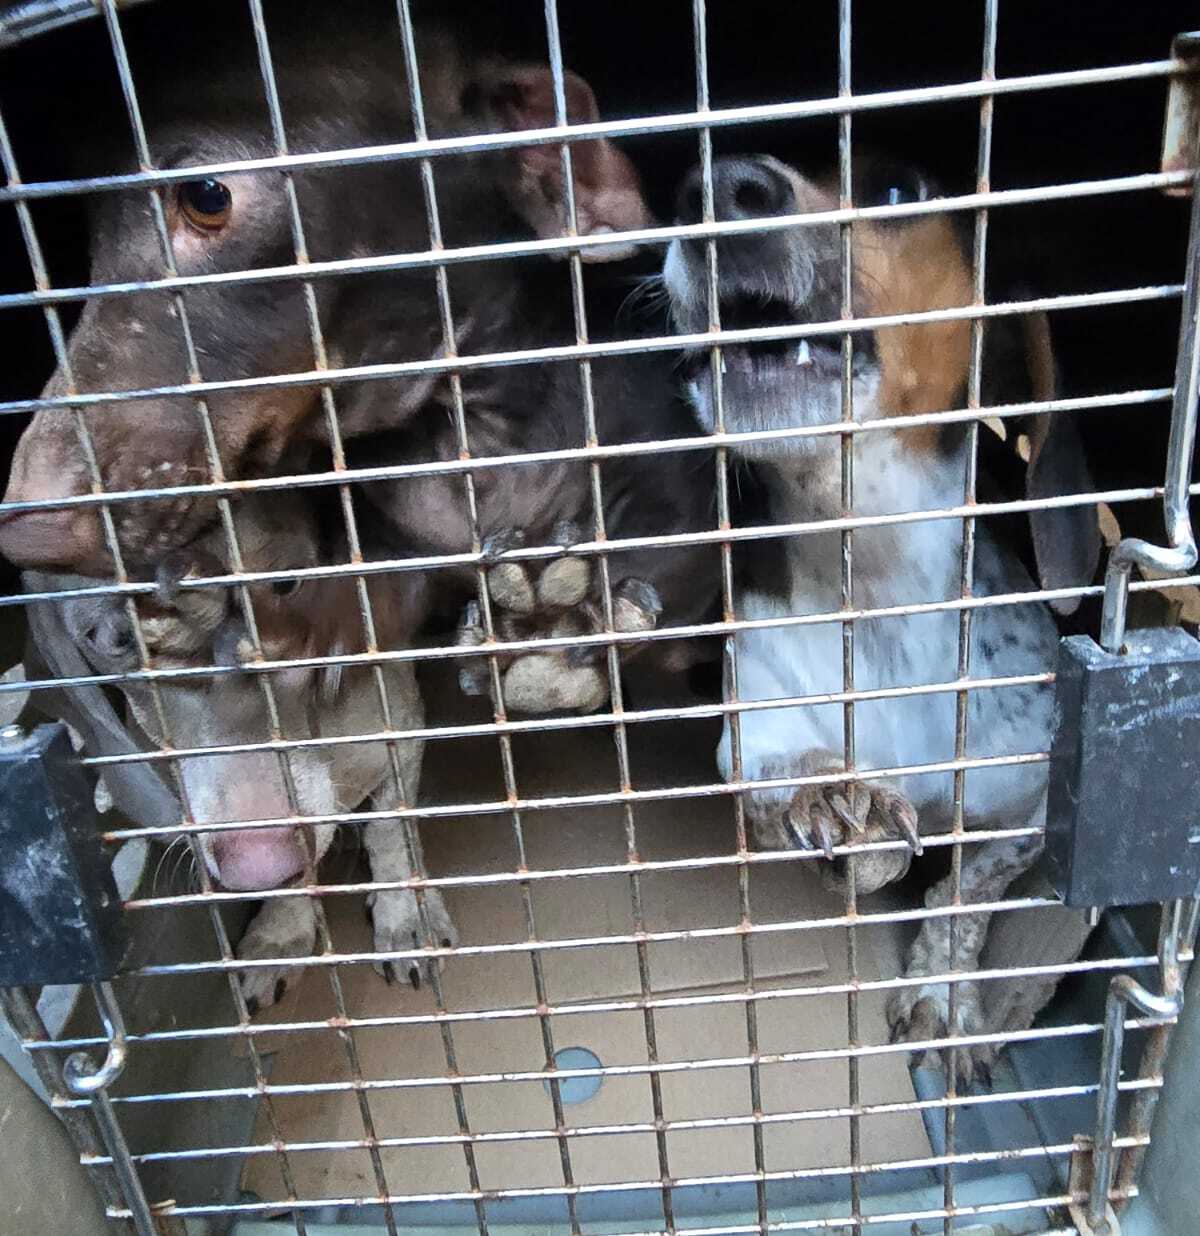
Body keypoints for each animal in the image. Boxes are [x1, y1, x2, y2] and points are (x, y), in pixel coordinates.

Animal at [26, 487, 446, 1012]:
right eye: (117, 638)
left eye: (286, 585)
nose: (260, 863)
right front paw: (281, 931)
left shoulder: (401, 733)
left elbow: (391, 833)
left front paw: (406, 914)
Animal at [662, 153, 1102, 1081]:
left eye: (901, 188)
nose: (716, 185)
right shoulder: (749, 737)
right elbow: (790, 777)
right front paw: (838, 794)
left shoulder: (1032, 810)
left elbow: (966, 893)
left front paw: (943, 992)